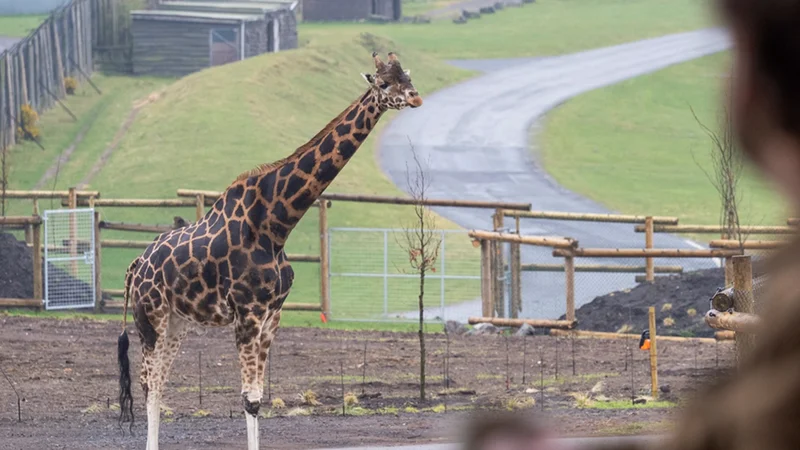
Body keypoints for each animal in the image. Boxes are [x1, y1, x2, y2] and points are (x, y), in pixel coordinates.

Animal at [116, 51, 422, 450]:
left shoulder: (272, 314)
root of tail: (136, 266)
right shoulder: (247, 312)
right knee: (149, 385)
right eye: (384, 84)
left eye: (408, 76)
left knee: (159, 383)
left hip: (177, 322)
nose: (416, 97)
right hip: (149, 318)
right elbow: (249, 399)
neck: (276, 226)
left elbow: (258, 398)